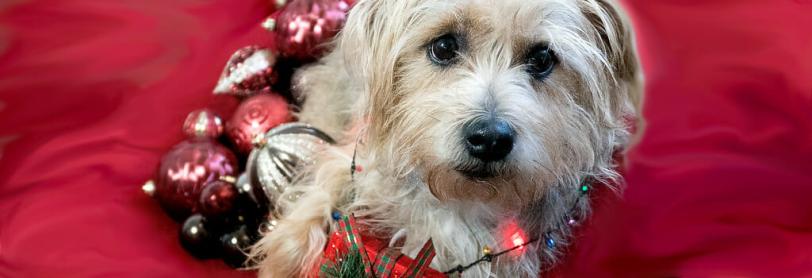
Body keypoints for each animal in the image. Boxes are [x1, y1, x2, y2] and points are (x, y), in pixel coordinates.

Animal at [251, 0, 644, 274]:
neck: (457, 198)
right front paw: (284, 255)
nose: (489, 140)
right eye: (443, 46)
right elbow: (325, 187)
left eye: (542, 58)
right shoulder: (357, 156)